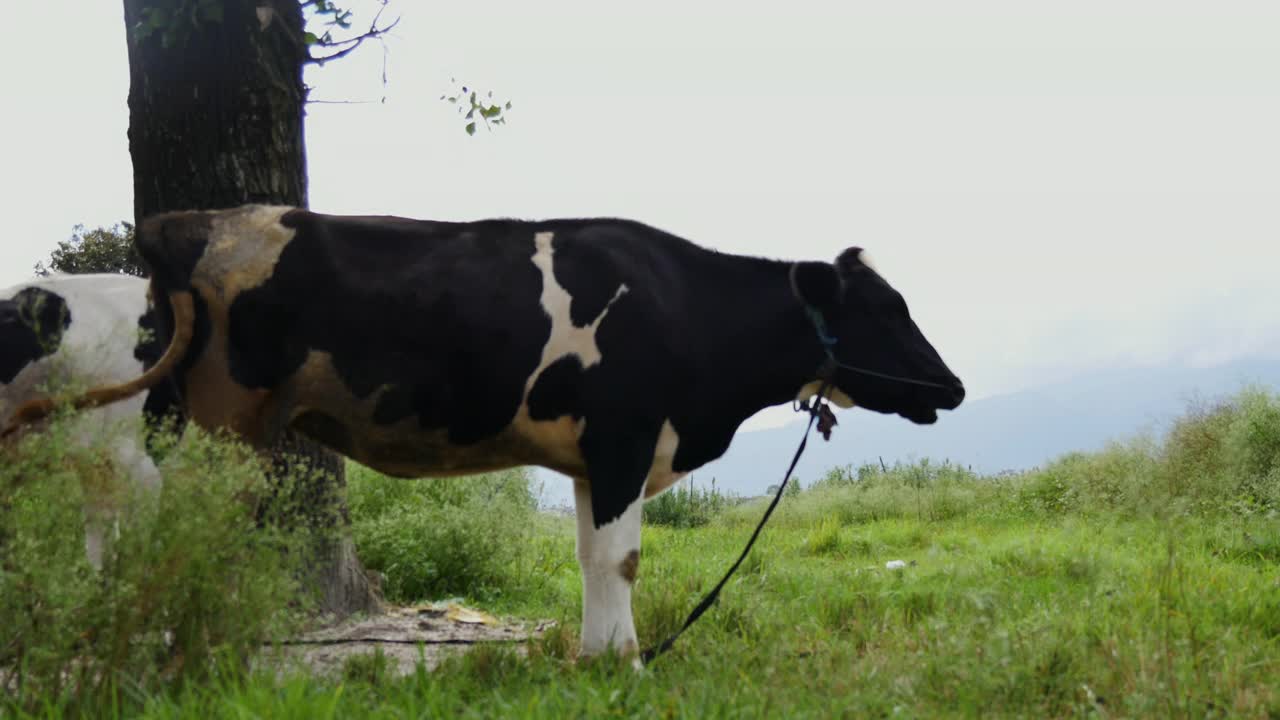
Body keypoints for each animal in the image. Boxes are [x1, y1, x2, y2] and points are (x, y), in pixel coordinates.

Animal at [74, 204, 962, 661]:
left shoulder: (592, 458)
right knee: (174, 530)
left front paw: (599, 659)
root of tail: (196, 222)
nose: (951, 387)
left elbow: (594, 556)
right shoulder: (625, 438)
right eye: (887, 309)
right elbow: (621, 559)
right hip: (221, 423)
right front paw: (626, 665)